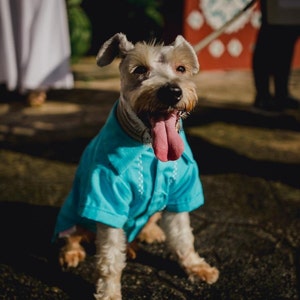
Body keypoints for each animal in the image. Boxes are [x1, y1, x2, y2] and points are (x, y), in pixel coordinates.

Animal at [53, 33, 218, 300]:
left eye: (181, 68)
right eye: (140, 69)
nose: (172, 91)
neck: (148, 148)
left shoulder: (180, 194)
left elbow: (183, 237)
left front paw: (196, 267)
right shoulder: (107, 199)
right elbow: (110, 258)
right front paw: (109, 293)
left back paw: (147, 234)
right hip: (76, 211)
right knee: (73, 234)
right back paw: (72, 252)